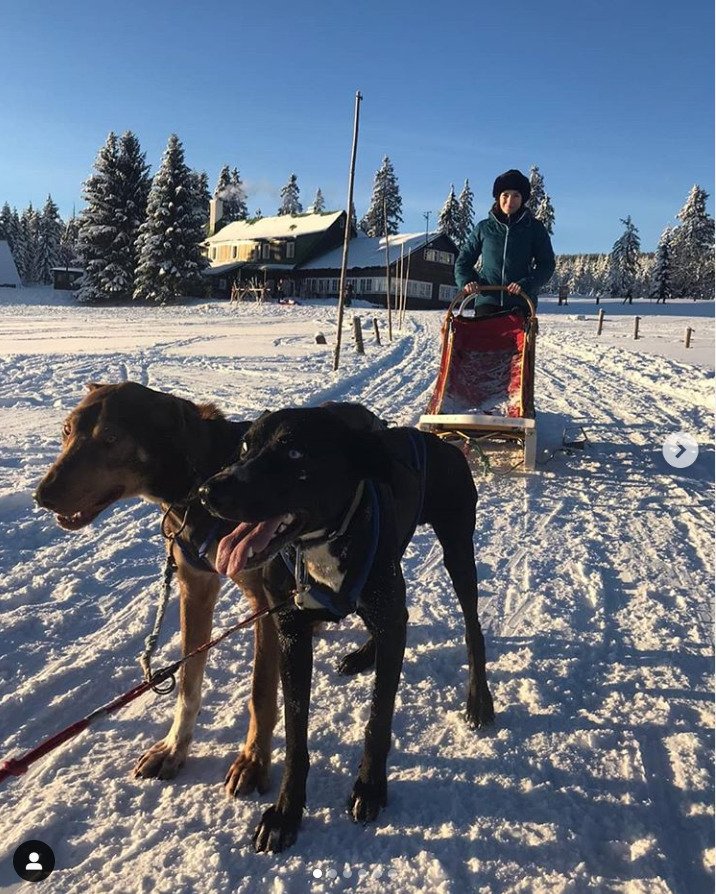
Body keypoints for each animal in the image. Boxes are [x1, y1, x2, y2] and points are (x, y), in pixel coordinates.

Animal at [199, 406, 496, 856]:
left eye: (294, 452)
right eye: (246, 445)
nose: (207, 490)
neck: (323, 543)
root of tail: (442, 443)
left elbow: (378, 719)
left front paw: (370, 789)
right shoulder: (292, 636)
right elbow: (296, 737)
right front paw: (285, 813)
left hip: (458, 550)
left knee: (470, 628)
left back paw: (479, 699)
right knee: (399, 618)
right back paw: (364, 654)